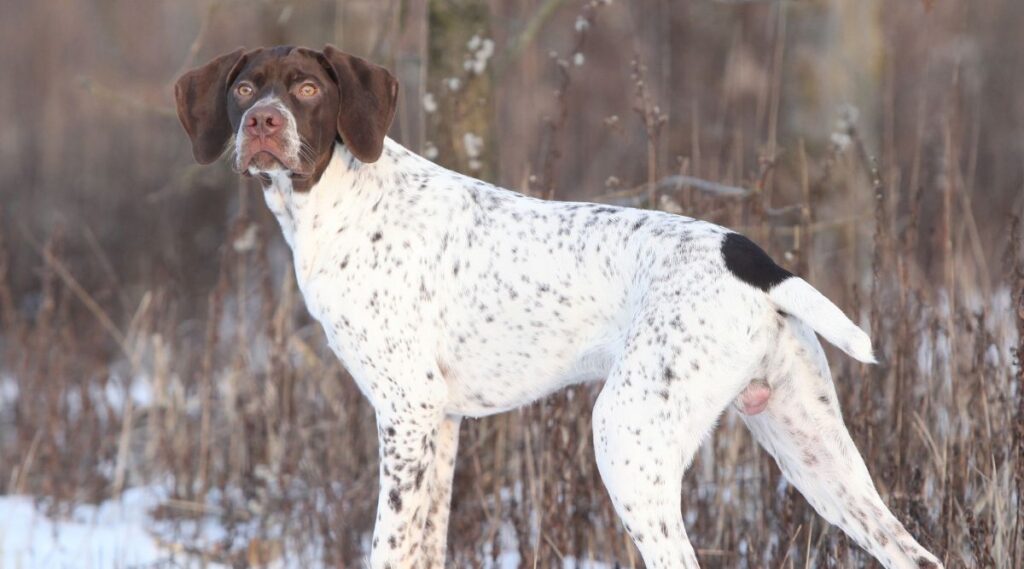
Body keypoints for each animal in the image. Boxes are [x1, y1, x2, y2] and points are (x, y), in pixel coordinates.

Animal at [174, 45, 942, 569]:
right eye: (244, 87)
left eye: (306, 88)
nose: (262, 122)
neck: (337, 200)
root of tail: (750, 256)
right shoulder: (438, 425)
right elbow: (424, 544)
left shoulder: (406, 411)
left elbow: (389, 545)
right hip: (817, 453)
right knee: (914, 552)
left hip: (629, 439)